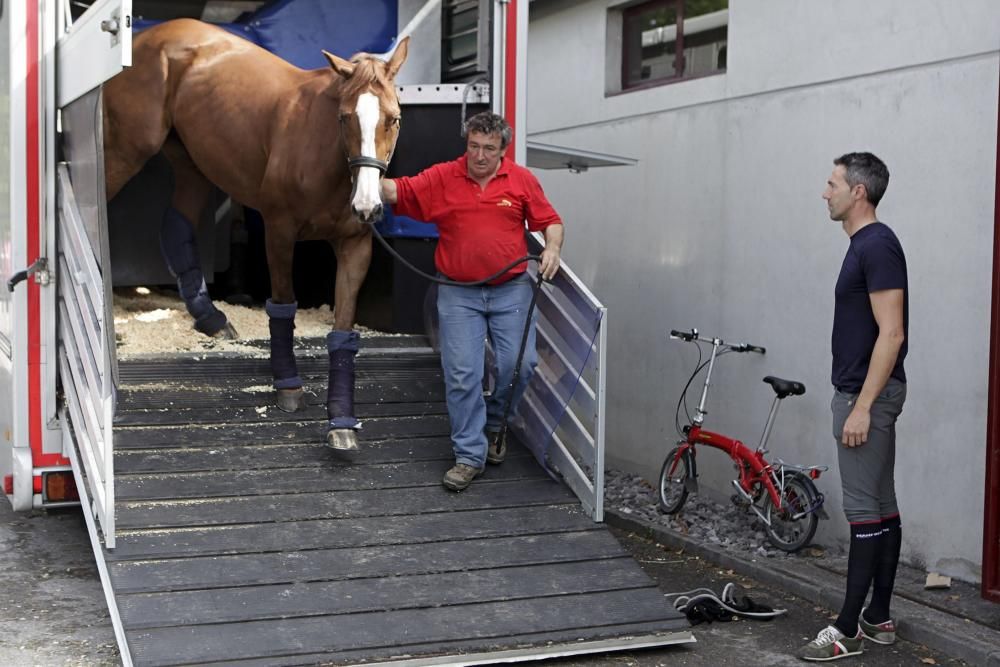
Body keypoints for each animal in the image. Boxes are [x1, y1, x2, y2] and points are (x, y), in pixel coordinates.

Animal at [103, 20, 408, 452]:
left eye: (394, 119)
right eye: (345, 117)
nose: (367, 206)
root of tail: (151, 35)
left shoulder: (356, 246)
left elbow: (343, 330)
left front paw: (341, 422)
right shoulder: (279, 232)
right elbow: (282, 306)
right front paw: (288, 385)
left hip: (192, 162)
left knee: (176, 227)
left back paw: (210, 317)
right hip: (125, 151)